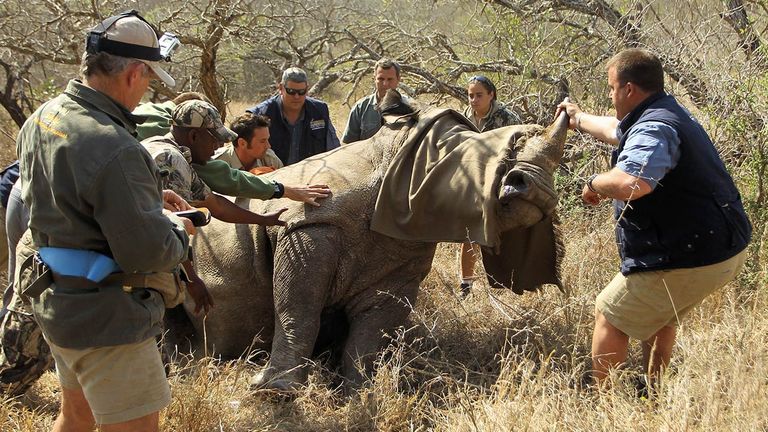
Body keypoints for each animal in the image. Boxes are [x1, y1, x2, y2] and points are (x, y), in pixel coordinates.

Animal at [182, 91, 568, 392]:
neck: (393, 162)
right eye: (460, 159)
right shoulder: (308, 224)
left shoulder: (402, 256)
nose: (538, 190)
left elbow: (373, 330)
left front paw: (361, 389)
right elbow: (298, 307)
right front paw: (276, 392)